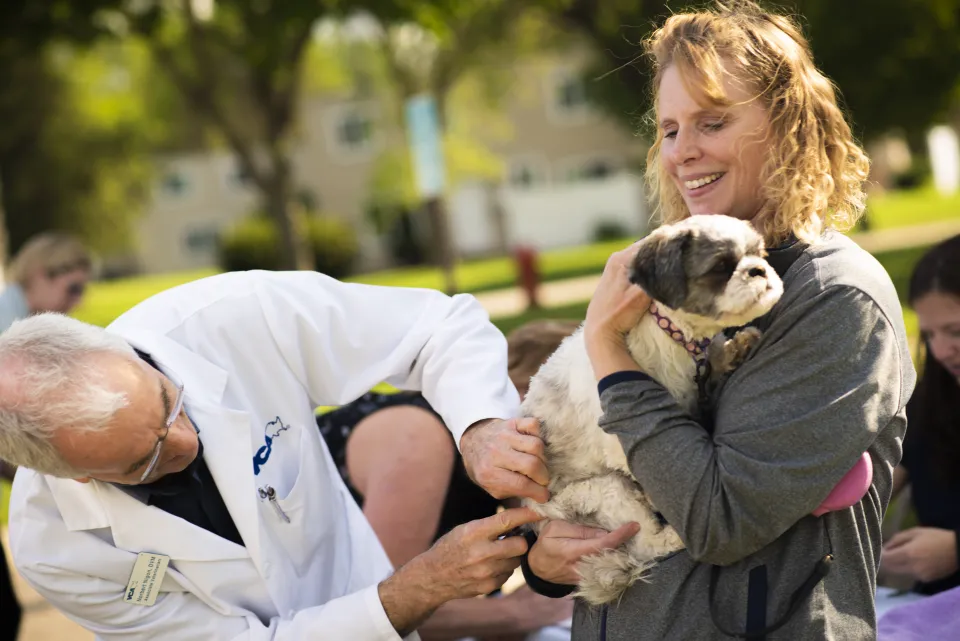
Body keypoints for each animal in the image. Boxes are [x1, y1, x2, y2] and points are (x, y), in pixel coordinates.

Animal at [520, 215, 784, 604]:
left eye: (760, 254)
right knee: (645, 544)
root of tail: (534, 513)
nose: (758, 270)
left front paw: (731, 349)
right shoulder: (621, 449)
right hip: (603, 493)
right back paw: (671, 537)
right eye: (721, 267)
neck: (673, 337)